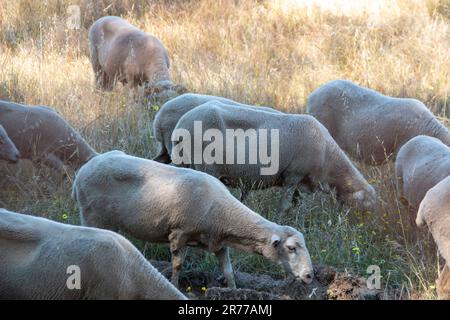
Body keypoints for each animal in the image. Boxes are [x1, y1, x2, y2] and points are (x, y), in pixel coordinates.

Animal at [72, 151, 314, 288]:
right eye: (291, 248)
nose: (310, 276)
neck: (223, 212)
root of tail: (84, 170)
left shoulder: (219, 243)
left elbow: (228, 271)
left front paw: (235, 292)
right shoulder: (178, 234)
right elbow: (177, 266)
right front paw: (175, 285)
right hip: (91, 215)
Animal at [172, 101, 376, 214]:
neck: (328, 158)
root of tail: (181, 124)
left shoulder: (300, 182)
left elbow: (297, 205)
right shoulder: (293, 175)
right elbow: (285, 205)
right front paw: (281, 220)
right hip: (206, 166)